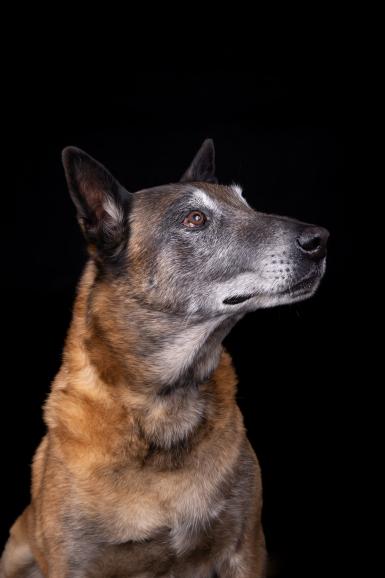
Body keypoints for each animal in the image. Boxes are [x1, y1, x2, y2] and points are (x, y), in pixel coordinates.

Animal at [0, 141, 328, 576]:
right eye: (195, 219)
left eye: (246, 204)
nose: (321, 239)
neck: (162, 411)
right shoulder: (72, 563)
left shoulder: (245, 548)